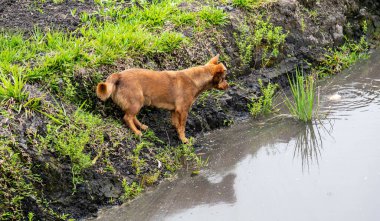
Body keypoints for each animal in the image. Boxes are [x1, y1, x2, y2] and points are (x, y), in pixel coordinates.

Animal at [96, 54, 230, 142]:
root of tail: (118, 75)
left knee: (132, 116)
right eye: (223, 78)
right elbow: (182, 126)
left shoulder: (174, 111)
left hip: (137, 102)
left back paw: (142, 126)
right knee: (127, 118)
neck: (196, 79)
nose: (228, 85)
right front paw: (183, 139)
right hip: (136, 102)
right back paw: (137, 132)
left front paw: (177, 132)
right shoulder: (183, 110)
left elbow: (176, 124)